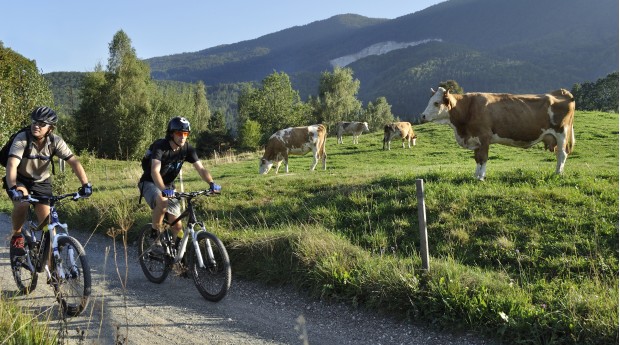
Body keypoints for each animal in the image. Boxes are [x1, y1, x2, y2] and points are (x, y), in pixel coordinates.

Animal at [418, 86, 572, 180]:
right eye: (430, 101)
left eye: (436, 103)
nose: (423, 116)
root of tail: (562, 92)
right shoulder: (476, 139)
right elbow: (477, 159)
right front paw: (475, 175)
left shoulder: (484, 137)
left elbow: (484, 158)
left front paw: (481, 177)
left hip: (561, 133)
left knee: (562, 154)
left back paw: (558, 173)